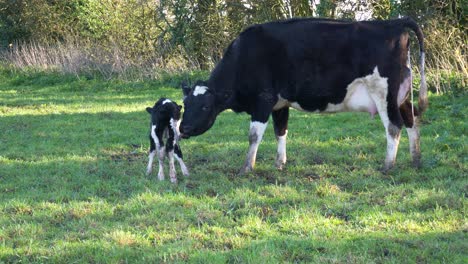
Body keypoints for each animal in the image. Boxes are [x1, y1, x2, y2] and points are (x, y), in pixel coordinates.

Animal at [179, 16, 428, 173]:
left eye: (204, 106)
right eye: (185, 104)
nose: (183, 129)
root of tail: (394, 22)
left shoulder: (263, 100)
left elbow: (253, 136)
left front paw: (247, 167)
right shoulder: (280, 103)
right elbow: (280, 131)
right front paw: (280, 163)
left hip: (383, 92)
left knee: (394, 126)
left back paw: (387, 166)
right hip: (401, 95)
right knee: (412, 120)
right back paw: (416, 160)